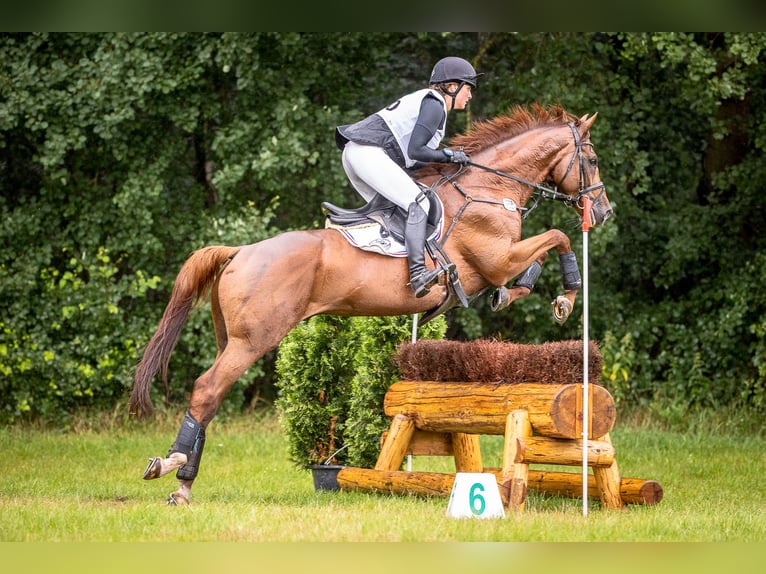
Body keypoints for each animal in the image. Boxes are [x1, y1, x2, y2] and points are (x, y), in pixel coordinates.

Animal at [130, 103, 612, 504]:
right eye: (590, 160)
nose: (603, 212)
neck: (489, 187)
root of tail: (241, 251)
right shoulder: (498, 259)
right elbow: (557, 237)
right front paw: (565, 296)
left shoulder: (500, 261)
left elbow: (542, 250)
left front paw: (513, 295)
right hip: (253, 341)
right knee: (207, 390)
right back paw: (175, 471)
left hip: (230, 338)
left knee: (209, 397)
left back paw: (182, 480)